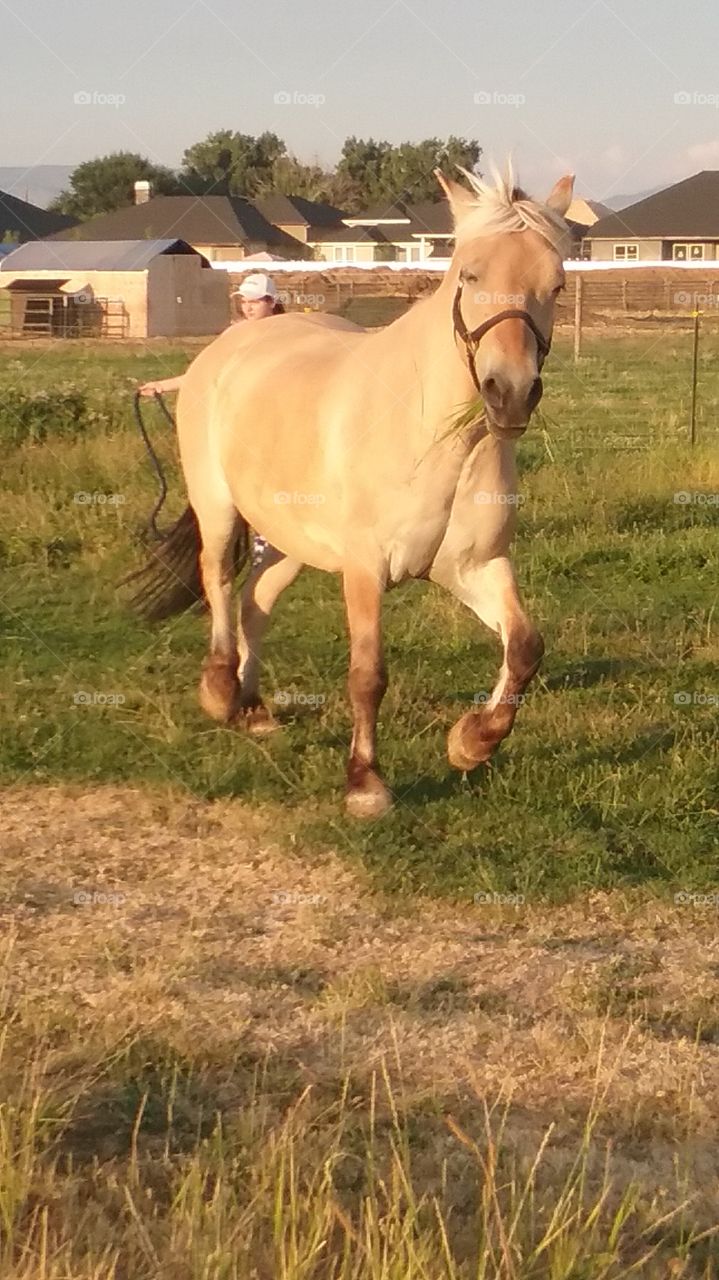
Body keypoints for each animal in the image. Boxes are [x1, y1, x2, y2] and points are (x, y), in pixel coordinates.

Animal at [129, 166, 574, 818]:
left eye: (557, 284)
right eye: (469, 274)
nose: (510, 393)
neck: (437, 439)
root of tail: (223, 350)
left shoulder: (475, 565)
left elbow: (524, 648)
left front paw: (471, 743)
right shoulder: (365, 568)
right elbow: (368, 674)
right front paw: (365, 783)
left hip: (288, 538)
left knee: (256, 600)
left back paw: (252, 708)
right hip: (219, 506)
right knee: (218, 582)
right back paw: (219, 691)